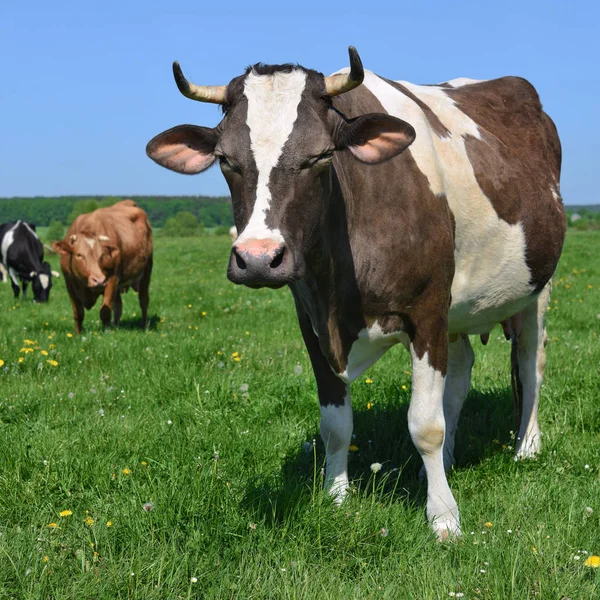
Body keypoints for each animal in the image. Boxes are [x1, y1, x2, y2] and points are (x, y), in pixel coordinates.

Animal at [52, 200, 154, 332]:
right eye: (79, 255)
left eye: (101, 255)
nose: (99, 280)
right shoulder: (69, 283)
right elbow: (78, 313)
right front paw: (77, 333)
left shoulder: (112, 278)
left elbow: (105, 311)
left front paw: (106, 332)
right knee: (118, 305)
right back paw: (116, 326)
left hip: (147, 271)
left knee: (144, 300)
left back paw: (144, 325)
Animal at [148, 45, 564, 536]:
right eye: (226, 159)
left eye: (319, 155)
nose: (258, 259)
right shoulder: (312, 320)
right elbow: (336, 424)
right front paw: (337, 496)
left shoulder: (426, 310)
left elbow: (425, 424)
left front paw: (443, 517)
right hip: (458, 308)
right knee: (460, 376)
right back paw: (446, 462)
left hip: (538, 289)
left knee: (531, 363)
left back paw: (526, 447)